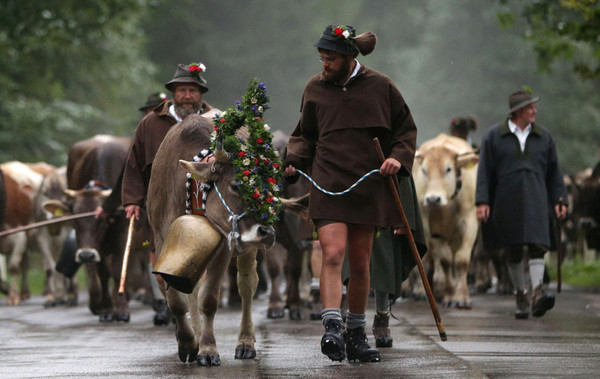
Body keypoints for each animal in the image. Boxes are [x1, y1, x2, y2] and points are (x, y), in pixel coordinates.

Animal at [148, 114, 302, 366]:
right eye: (236, 185)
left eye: (268, 187)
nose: (267, 233)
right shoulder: (162, 239)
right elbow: (178, 300)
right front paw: (189, 343)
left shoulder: (223, 245)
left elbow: (209, 299)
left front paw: (208, 350)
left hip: (247, 250)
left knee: (247, 286)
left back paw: (246, 343)